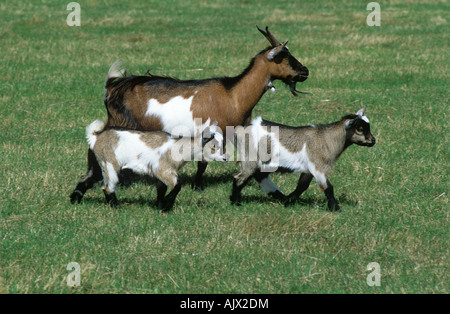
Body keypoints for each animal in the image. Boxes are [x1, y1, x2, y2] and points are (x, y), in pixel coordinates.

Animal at [70, 26, 310, 204]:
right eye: (283, 57)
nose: (305, 71)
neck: (232, 95)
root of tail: (113, 87)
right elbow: (205, 162)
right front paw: (197, 186)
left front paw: (280, 195)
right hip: (119, 122)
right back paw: (83, 190)